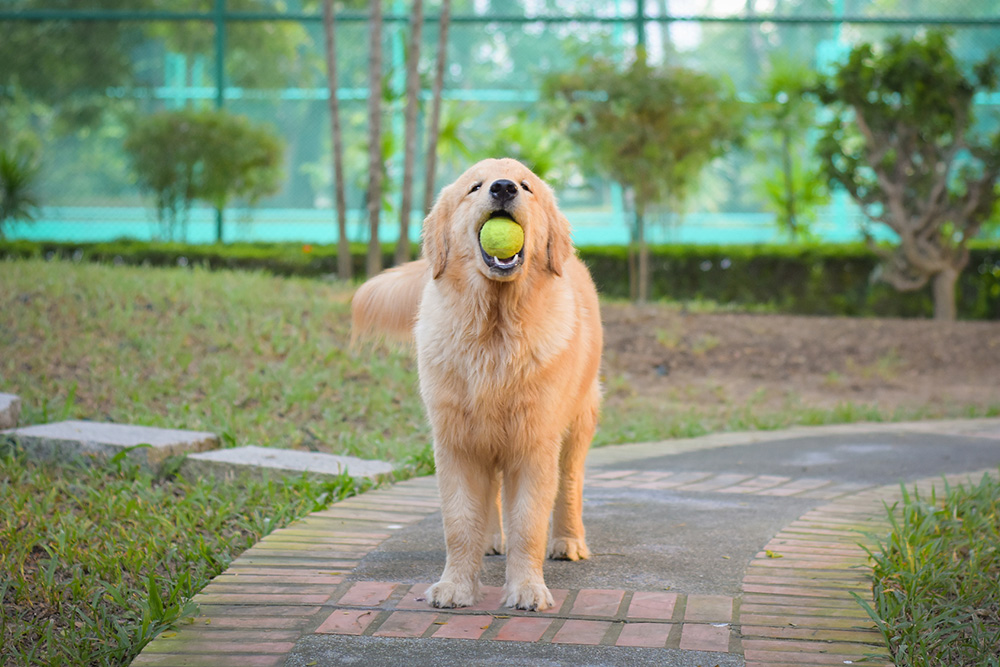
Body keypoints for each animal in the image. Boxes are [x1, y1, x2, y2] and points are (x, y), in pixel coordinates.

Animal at [352, 157, 600, 612]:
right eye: (475, 187)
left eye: (526, 186)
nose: (503, 188)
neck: (494, 331)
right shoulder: (457, 443)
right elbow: (460, 521)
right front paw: (456, 586)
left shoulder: (533, 444)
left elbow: (528, 524)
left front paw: (527, 589)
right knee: (492, 498)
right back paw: (491, 540)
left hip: (580, 418)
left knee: (570, 483)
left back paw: (569, 541)